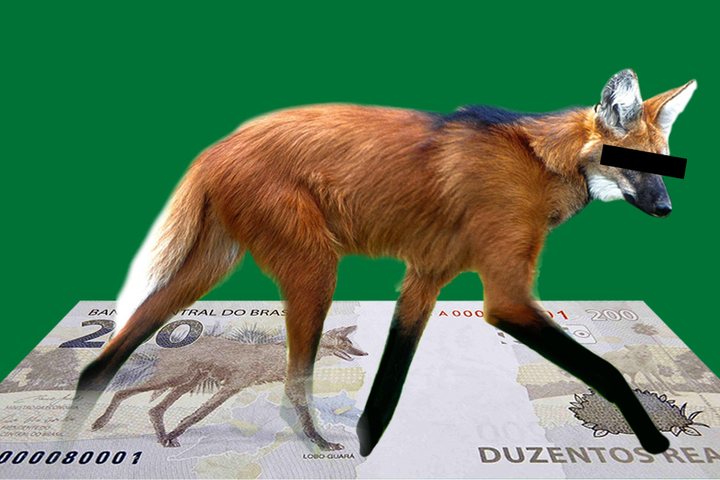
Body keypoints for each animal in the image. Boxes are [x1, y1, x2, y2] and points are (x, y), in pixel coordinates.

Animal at [76, 69, 695, 454]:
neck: (543, 163)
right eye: (638, 162)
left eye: (665, 163)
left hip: (215, 267)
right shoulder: (507, 301)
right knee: (292, 382)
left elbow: (388, 391)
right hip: (315, 272)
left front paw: (368, 445)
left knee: (107, 357)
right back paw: (315, 441)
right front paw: (654, 440)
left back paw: (71, 428)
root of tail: (218, 144)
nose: (667, 209)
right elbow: (610, 372)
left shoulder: (424, 280)